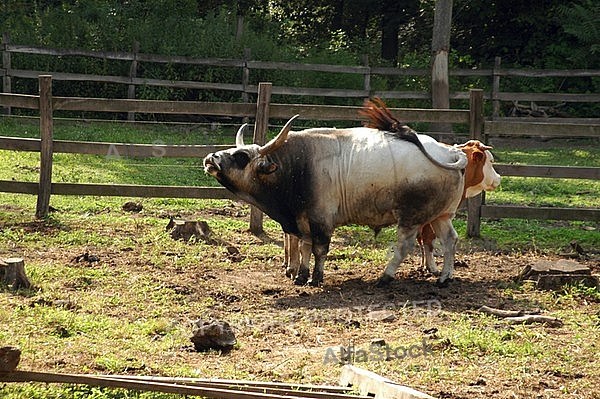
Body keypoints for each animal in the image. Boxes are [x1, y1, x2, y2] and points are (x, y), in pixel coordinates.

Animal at [206, 115, 468, 288]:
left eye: (241, 156)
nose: (211, 158)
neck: (298, 165)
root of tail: (450, 153)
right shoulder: (302, 221)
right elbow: (304, 248)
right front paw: (301, 275)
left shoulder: (321, 220)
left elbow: (320, 249)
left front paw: (316, 278)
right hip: (442, 216)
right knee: (450, 240)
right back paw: (445, 277)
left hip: (411, 219)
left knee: (405, 246)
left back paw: (386, 276)